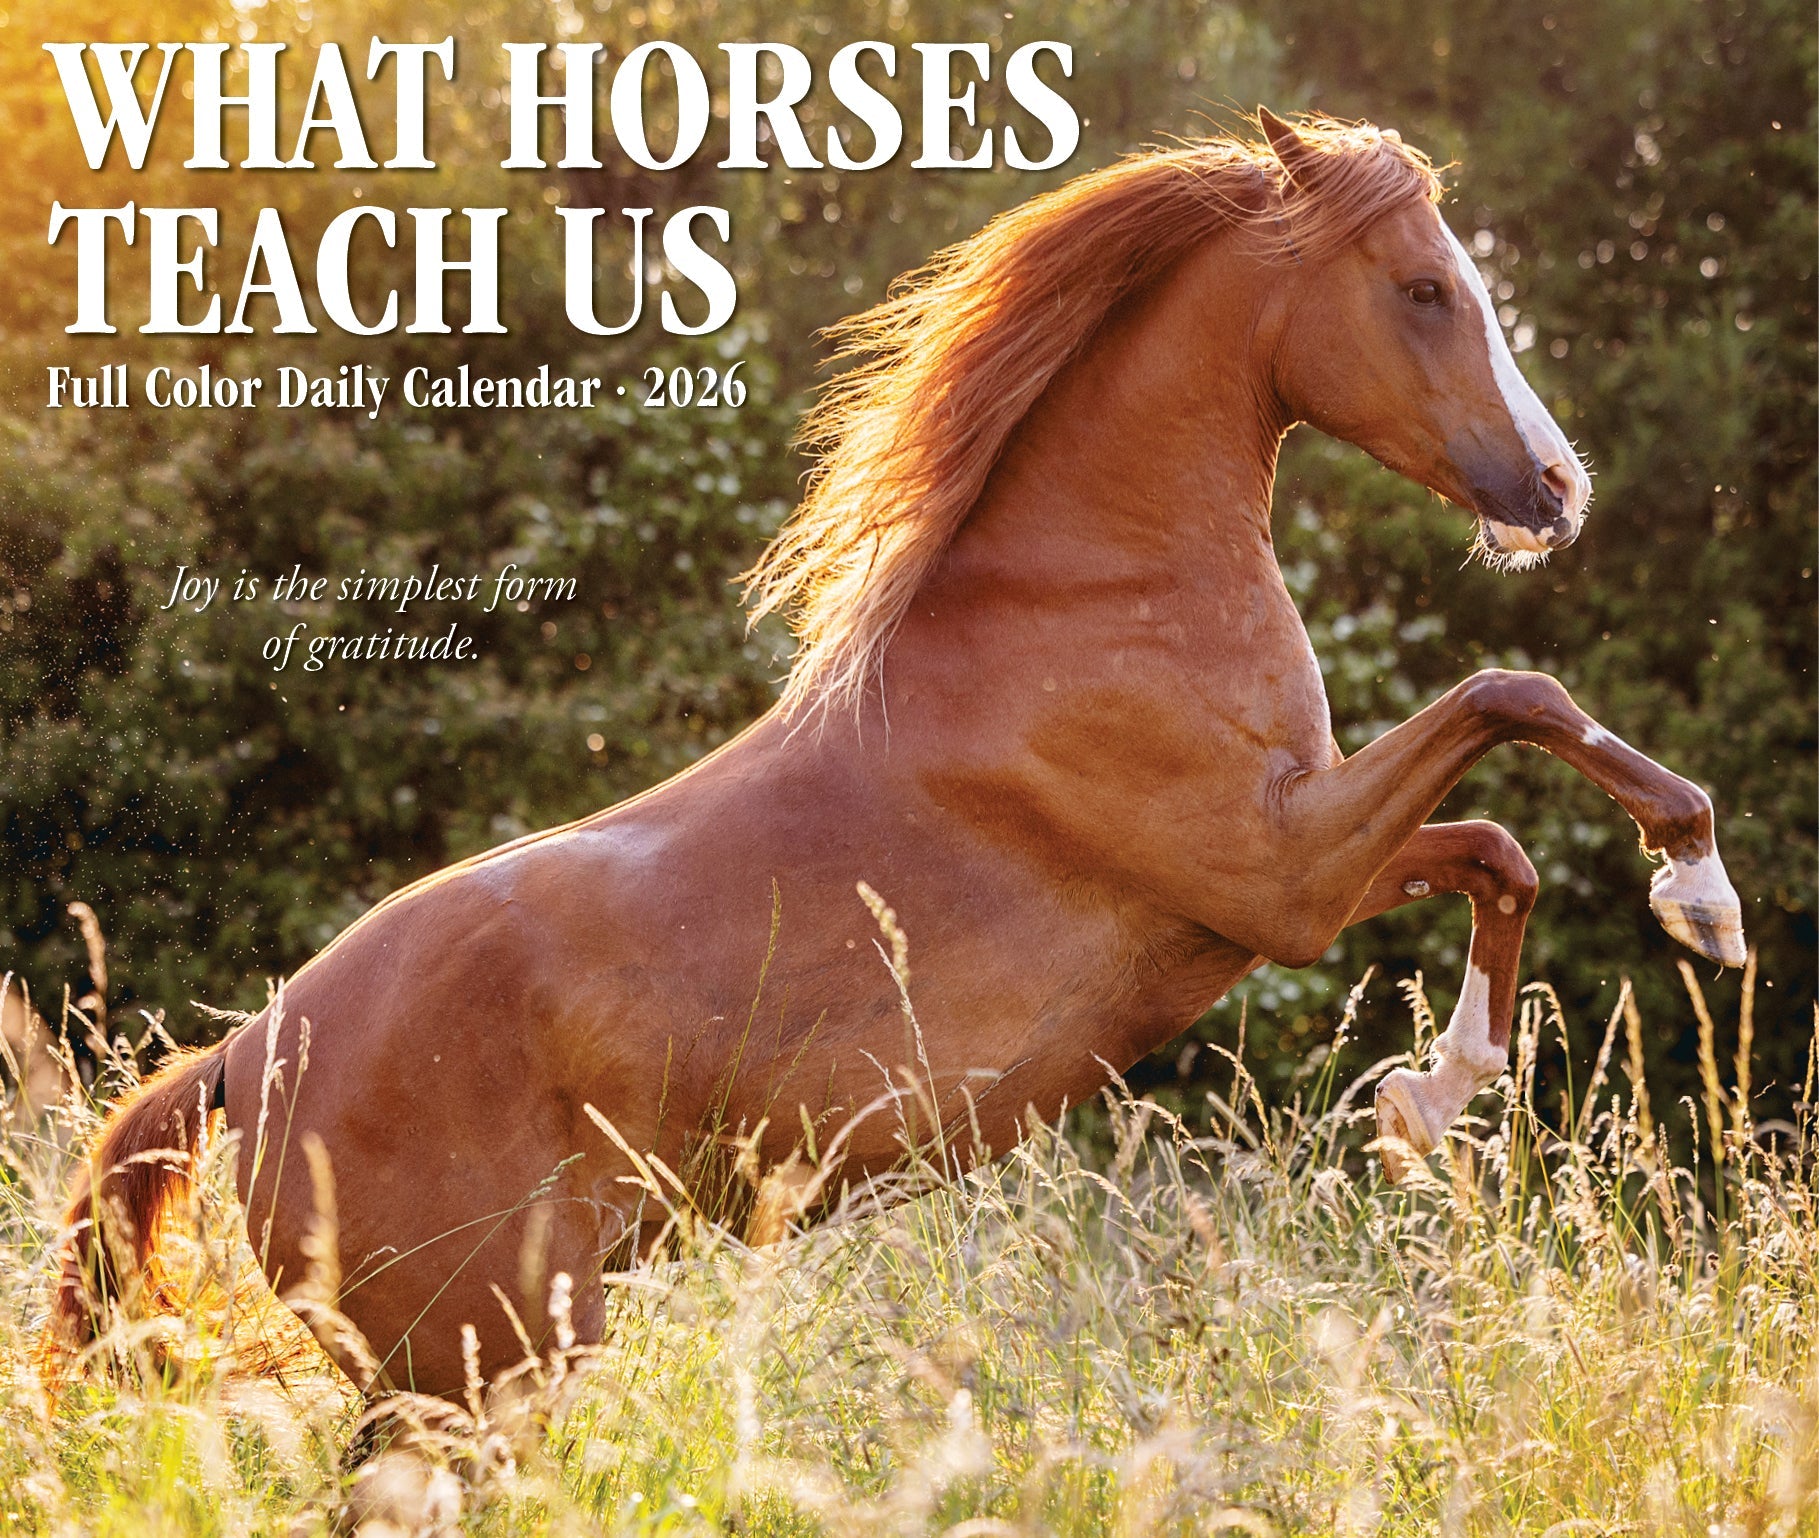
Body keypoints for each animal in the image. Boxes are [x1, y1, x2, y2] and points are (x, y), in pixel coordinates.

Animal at [51, 111, 1745, 1399]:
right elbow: (1512, 698)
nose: (1555, 490)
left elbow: (1495, 846)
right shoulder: (1279, 879)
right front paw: (1697, 893)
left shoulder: (1280, 874)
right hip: (492, 1358)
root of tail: (239, 1058)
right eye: (1419, 289)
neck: (1092, 595)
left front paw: (1424, 1099)